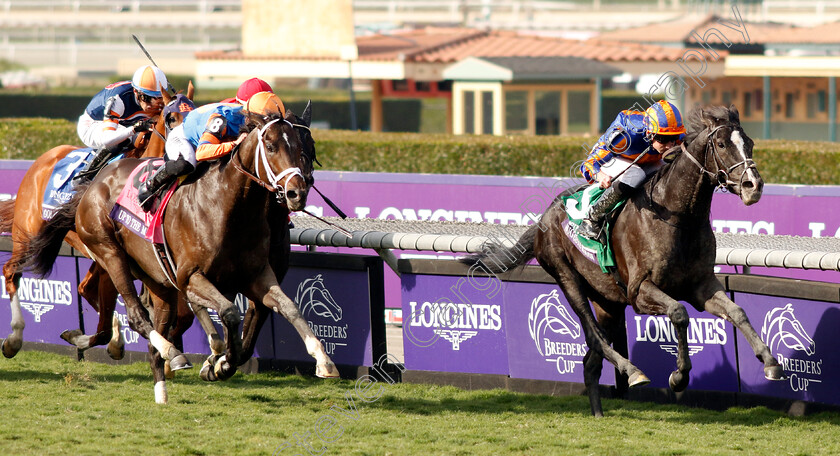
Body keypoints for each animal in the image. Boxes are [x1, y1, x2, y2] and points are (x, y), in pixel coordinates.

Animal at [0, 87, 195, 362]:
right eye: (172, 118)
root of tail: (41, 161)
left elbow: (183, 315)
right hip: (28, 234)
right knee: (11, 271)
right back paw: (14, 339)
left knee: (86, 289)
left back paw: (115, 341)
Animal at [27, 110, 342, 402]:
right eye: (271, 145)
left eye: (303, 148)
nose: (296, 193)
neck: (230, 209)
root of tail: (94, 183)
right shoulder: (190, 277)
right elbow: (229, 312)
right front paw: (222, 363)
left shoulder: (257, 276)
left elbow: (289, 308)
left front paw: (323, 361)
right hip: (109, 252)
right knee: (136, 315)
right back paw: (168, 351)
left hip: (157, 281)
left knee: (154, 328)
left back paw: (162, 389)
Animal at [466, 105, 788, 416]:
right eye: (721, 144)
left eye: (750, 143)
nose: (753, 185)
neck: (678, 219)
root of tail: (543, 219)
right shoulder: (640, 291)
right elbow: (679, 313)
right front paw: (679, 377)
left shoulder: (701, 285)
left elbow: (737, 312)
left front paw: (770, 362)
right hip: (567, 279)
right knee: (594, 337)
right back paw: (633, 372)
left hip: (607, 301)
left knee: (590, 361)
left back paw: (599, 412)